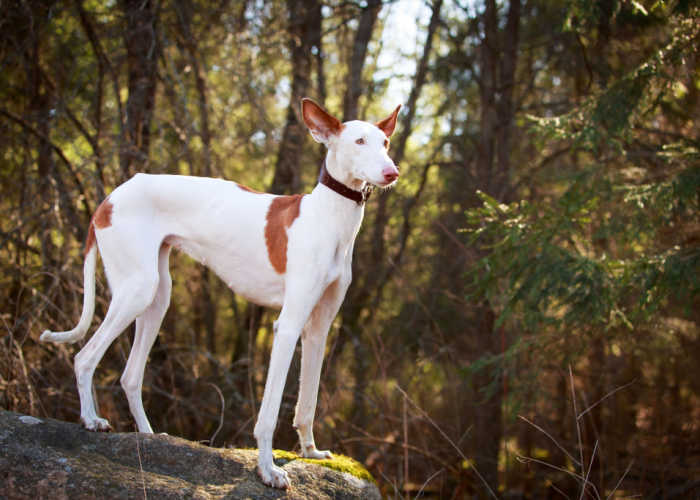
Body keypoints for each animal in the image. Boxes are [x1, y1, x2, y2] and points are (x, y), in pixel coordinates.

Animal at [41, 98, 402, 488]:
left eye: (385, 142)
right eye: (359, 141)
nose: (392, 173)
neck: (329, 217)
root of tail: (111, 196)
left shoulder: (317, 331)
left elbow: (308, 402)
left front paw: (310, 451)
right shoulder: (287, 327)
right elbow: (269, 413)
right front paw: (268, 470)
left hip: (157, 299)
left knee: (130, 375)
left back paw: (149, 436)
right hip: (136, 291)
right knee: (84, 357)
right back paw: (91, 420)